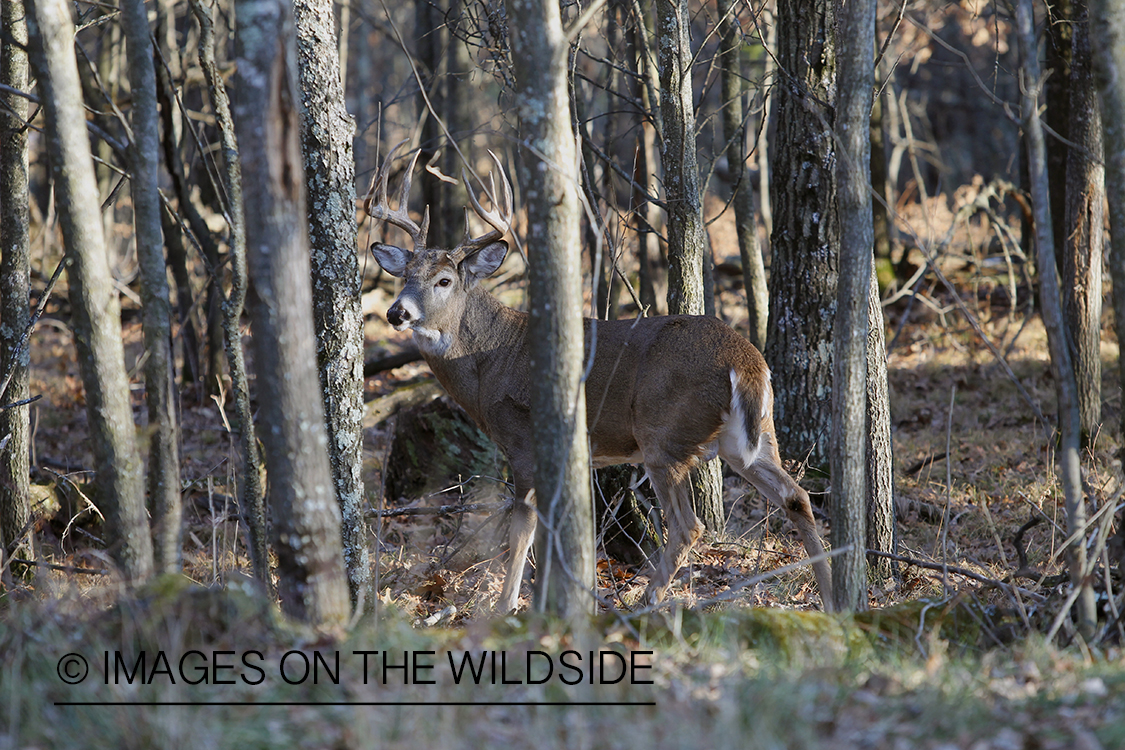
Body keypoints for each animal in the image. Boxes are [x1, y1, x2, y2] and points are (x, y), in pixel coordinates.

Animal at [364, 143, 832, 611]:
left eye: (444, 280)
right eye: (404, 277)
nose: (397, 312)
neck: (490, 363)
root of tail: (747, 361)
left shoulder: (523, 443)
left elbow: (522, 530)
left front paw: (506, 606)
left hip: (663, 434)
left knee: (689, 524)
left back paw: (647, 601)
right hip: (752, 437)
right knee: (797, 497)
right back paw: (834, 596)